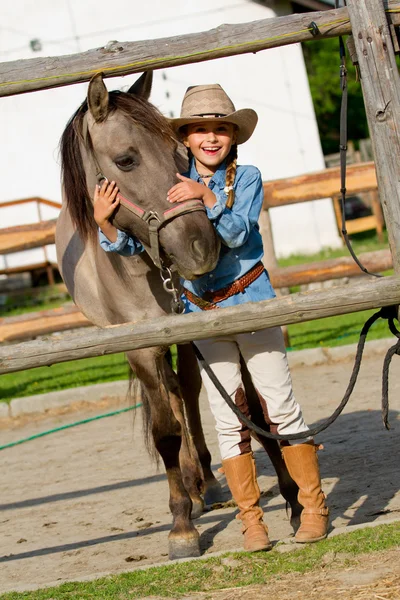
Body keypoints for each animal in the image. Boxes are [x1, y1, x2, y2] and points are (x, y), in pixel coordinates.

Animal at [55, 72, 300, 560]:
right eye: (126, 159)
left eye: (181, 156)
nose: (201, 246)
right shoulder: (139, 349)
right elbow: (164, 431)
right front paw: (181, 526)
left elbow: (239, 410)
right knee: (169, 400)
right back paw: (191, 489)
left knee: (186, 391)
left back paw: (204, 480)